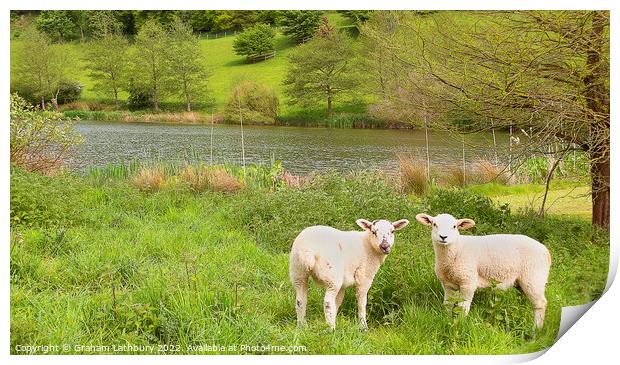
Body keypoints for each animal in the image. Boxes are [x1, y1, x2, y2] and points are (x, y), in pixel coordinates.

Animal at [414, 210, 548, 328]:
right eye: (434, 224)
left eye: (454, 226)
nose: (443, 237)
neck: (457, 249)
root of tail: (545, 250)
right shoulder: (447, 284)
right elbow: (447, 304)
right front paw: (446, 319)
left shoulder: (468, 282)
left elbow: (463, 307)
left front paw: (460, 325)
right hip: (523, 282)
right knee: (526, 299)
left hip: (534, 278)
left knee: (540, 304)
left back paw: (536, 329)